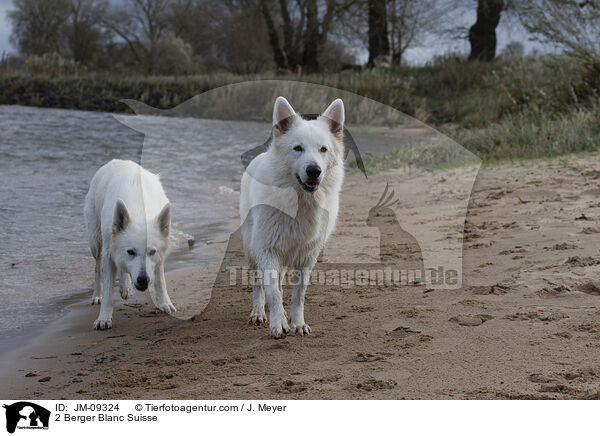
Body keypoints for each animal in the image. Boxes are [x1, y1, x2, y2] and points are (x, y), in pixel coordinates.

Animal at [83, 158, 176, 328]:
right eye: (131, 252)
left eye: (151, 252)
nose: (143, 280)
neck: (139, 211)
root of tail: (116, 160)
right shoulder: (109, 254)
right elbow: (108, 291)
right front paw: (104, 318)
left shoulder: (159, 258)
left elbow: (160, 280)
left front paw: (165, 303)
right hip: (96, 242)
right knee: (97, 267)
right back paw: (97, 295)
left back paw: (125, 286)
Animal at [238, 97, 344, 338]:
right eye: (298, 148)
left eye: (323, 149)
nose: (314, 171)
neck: (299, 202)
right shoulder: (267, 249)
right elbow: (273, 291)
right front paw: (278, 323)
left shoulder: (307, 257)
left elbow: (298, 294)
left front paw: (297, 323)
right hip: (252, 248)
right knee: (258, 283)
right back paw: (258, 312)